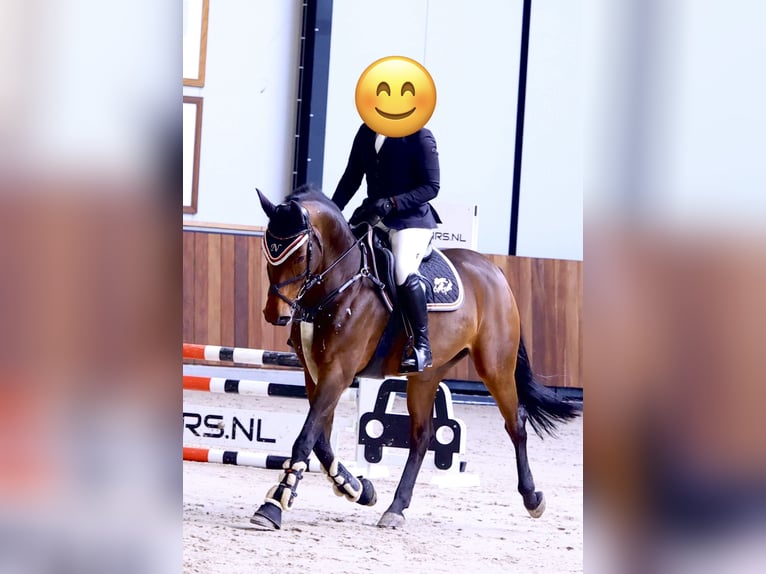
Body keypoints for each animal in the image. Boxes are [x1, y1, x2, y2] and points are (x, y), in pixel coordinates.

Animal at [250, 185, 580, 530]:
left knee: (515, 423)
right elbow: (321, 442)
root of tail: (494, 271)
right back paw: (396, 507)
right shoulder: (314, 373)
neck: (341, 284)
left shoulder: (338, 372)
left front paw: (274, 504)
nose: (275, 314)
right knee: (422, 436)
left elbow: (306, 438)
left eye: (300, 255)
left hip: (495, 366)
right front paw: (359, 489)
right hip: (426, 376)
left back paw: (532, 498)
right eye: (268, 250)